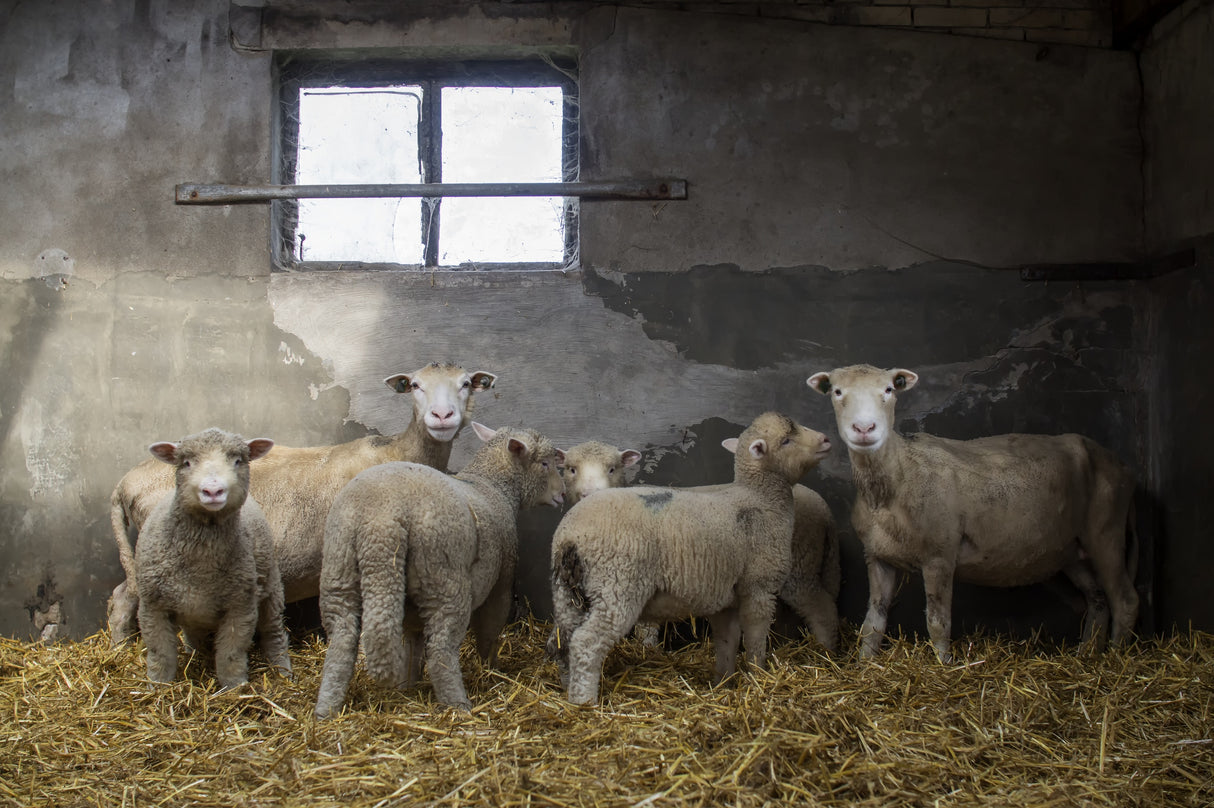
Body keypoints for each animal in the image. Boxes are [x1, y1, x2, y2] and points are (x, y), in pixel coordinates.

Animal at [107, 362, 496, 646]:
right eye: (415, 385)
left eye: (465, 383)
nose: (442, 417)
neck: (396, 453)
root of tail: (124, 484)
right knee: (128, 598)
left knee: (122, 595)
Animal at [135, 428, 291, 689]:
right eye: (186, 463)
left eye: (238, 460)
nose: (213, 490)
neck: (201, 566)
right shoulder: (152, 606)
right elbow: (161, 655)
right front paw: (157, 688)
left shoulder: (241, 606)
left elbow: (231, 654)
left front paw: (235, 688)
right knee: (193, 635)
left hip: (271, 588)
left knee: (274, 632)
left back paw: (284, 671)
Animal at [314, 423, 566, 718]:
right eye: (545, 463)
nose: (562, 494)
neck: (493, 485)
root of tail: (381, 521)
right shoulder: (501, 583)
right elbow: (490, 630)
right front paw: (491, 669)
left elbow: (412, 643)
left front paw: (407, 684)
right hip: (444, 579)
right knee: (441, 651)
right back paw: (459, 706)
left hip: (338, 573)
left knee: (341, 644)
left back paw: (326, 710)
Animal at [547, 412, 832, 705]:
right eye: (786, 440)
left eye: (612, 468)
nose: (825, 440)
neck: (758, 497)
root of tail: (571, 536)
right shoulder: (759, 586)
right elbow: (754, 637)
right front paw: (758, 676)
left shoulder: (726, 595)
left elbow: (727, 640)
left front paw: (723, 682)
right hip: (618, 585)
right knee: (585, 643)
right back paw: (584, 702)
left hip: (567, 591)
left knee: (561, 641)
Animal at [806, 364, 1139, 663]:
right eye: (837, 391)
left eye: (889, 390)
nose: (864, 429)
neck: (897, 478)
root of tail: (1118, 463)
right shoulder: (877, 556)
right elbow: (873, 622)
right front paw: (864, 665)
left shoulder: (940, 554)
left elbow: (938, 623)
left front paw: (943, 668)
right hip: (1071, 549)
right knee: (1098, 601)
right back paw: (1088, 655)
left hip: (1106, 531)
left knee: (1125, 601)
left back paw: (1115, 660)